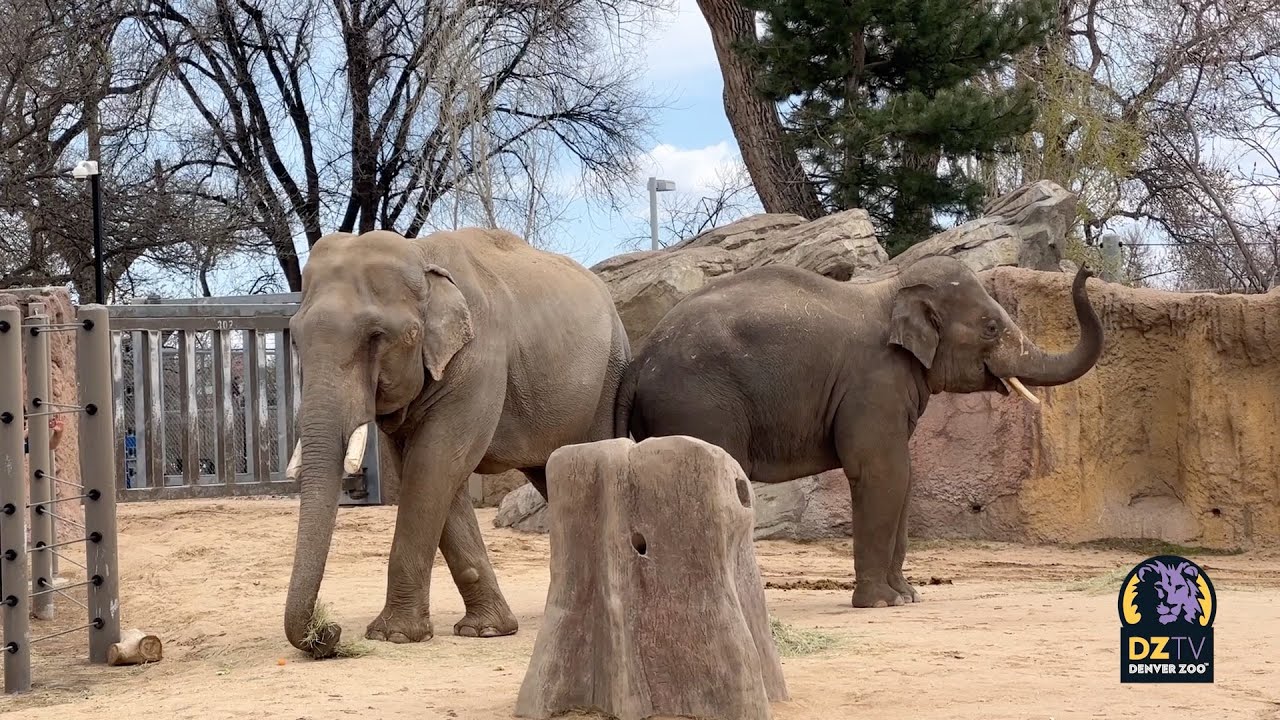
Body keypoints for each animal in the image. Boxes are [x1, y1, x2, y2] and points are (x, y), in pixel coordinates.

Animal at [288, 226, 632, 653]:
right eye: (294, 338)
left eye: (378, 336)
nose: (329, 631)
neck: (420, 254)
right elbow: (428, 471)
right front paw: (487, 630)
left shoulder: (479, 359)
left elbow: (434, 463)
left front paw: (392, 635)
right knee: (552, 476)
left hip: (607, 382)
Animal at [614, 254, 1105, 607]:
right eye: (991, 327)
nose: (1087, 266)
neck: (891, 293)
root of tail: (639, 358)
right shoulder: (874, 382)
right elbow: (880, 471)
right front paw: (882, 604)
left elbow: (904, 478)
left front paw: (908, 597)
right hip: (699, 405)